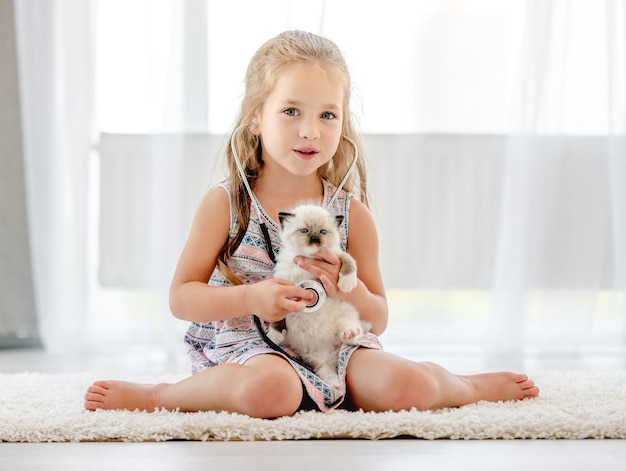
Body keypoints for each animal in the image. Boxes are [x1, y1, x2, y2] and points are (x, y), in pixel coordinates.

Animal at [266, 205, 368, 390]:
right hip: (314, 358)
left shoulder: (336, 255)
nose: (314, 239)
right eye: (304, 231)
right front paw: (275, 335)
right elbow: (278, 317)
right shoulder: (283, 287)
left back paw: (349, 334)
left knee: (349, 333)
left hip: (345, 315)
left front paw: (346, 284)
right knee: (325, 371)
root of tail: (330, 353)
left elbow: (349, 262)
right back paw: (336, 385)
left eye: (323, 232)